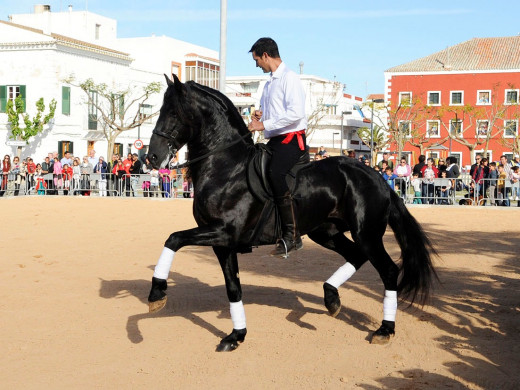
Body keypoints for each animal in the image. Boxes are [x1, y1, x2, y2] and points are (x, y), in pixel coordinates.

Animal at [144, 74, 436, 352]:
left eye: (172, 112)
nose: (151, 158)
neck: (226, 167)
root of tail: (375, 176)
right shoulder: (222, 244)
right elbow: (233, 288)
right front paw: (237, 335)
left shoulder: (223, 233)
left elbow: (173, 238)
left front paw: (157, 292)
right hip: (327, 232)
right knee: (355, 256)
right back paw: (331, 298)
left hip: (367, 234)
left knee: (388, 271)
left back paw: (385, 329)